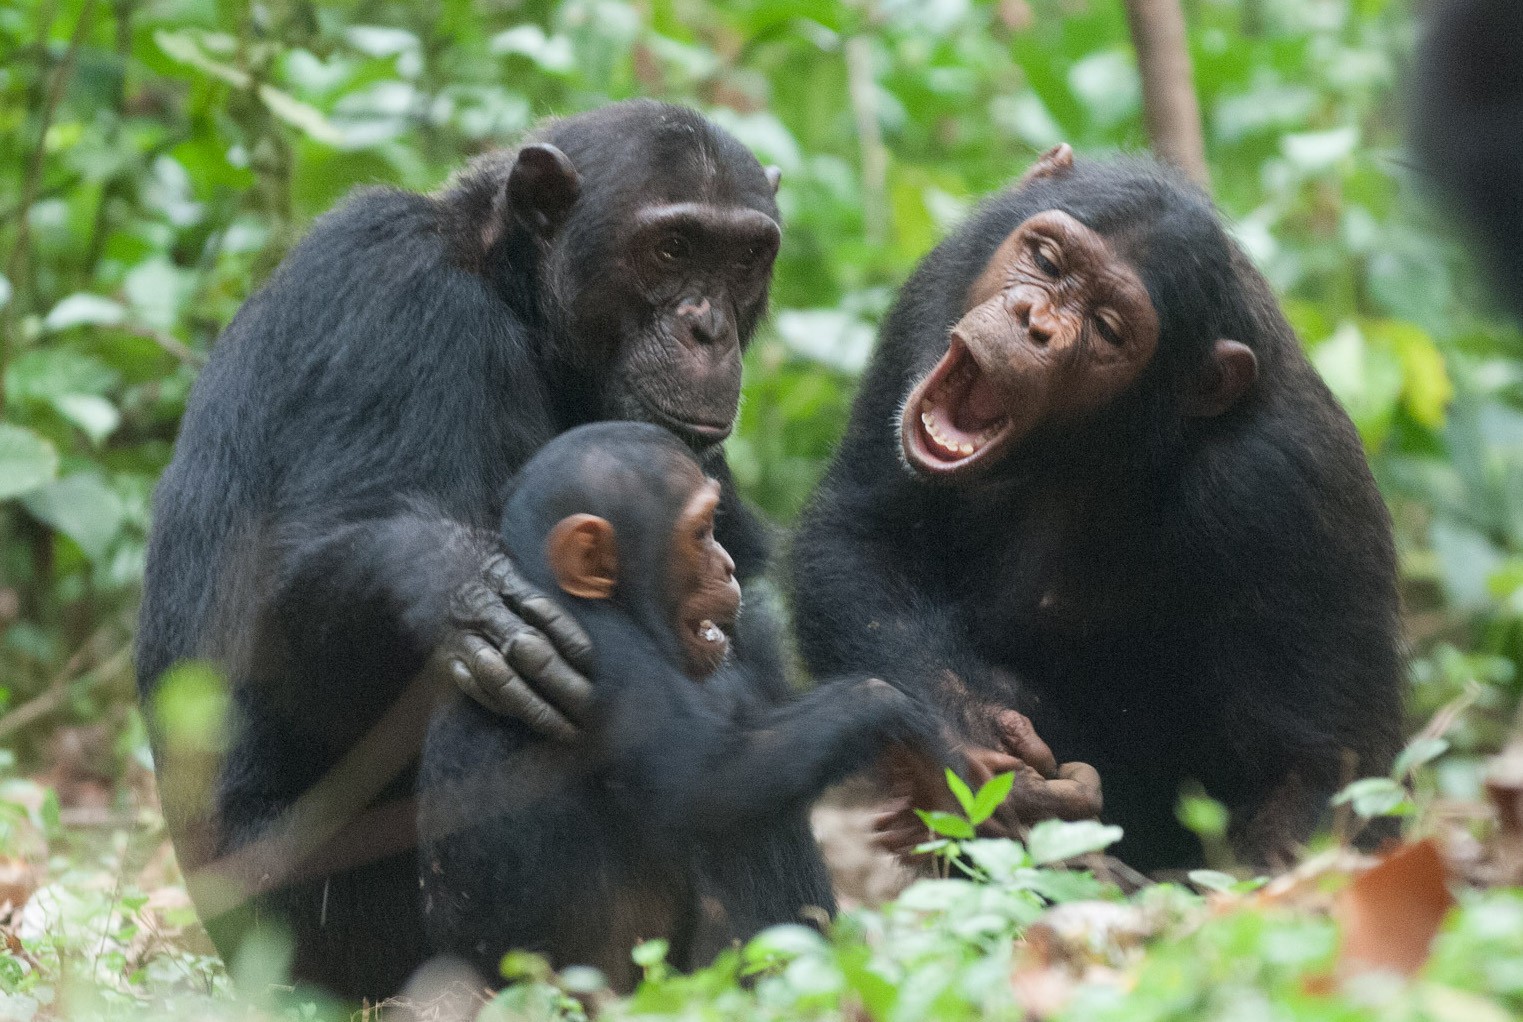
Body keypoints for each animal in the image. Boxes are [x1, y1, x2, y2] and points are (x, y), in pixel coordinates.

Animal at [134, 102, 785, 999]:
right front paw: (458, 587)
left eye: (744, 257)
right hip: (322, 941)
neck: (517, 301)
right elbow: (299, 593)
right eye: (672, 249)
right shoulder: (397, 301)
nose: (708, 328)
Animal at [791, 147, 1407, 877]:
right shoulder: (931, 293)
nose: (1034, 321)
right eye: (1048, 261)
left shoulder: (1281, 483)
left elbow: (1319, 774)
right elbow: (860, 534)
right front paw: (968, 737)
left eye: (1109, 328)